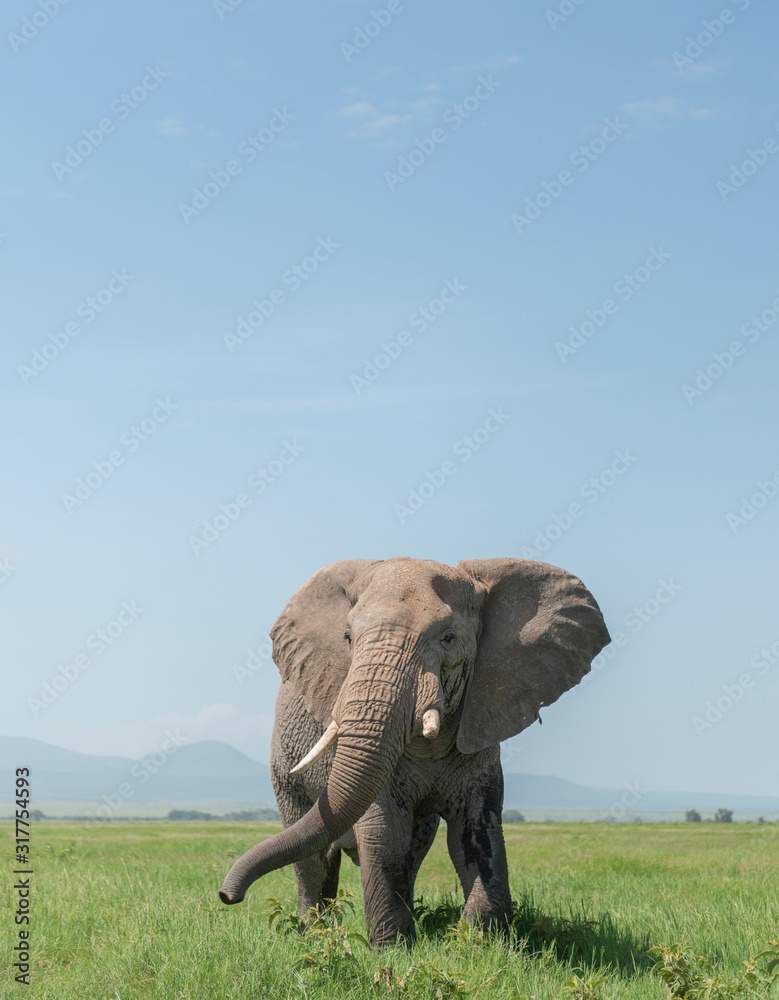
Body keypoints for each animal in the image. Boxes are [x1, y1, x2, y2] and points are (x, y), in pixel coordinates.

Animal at [220, 557, 610, 945]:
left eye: (448, 638)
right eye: (348, 638)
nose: (226, 896)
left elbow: (476, 831)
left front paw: (481, 941)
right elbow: (385, 832)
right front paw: (392, 949)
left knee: (415, 846)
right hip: (284, 764)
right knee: (314, 856)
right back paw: (316, 934)